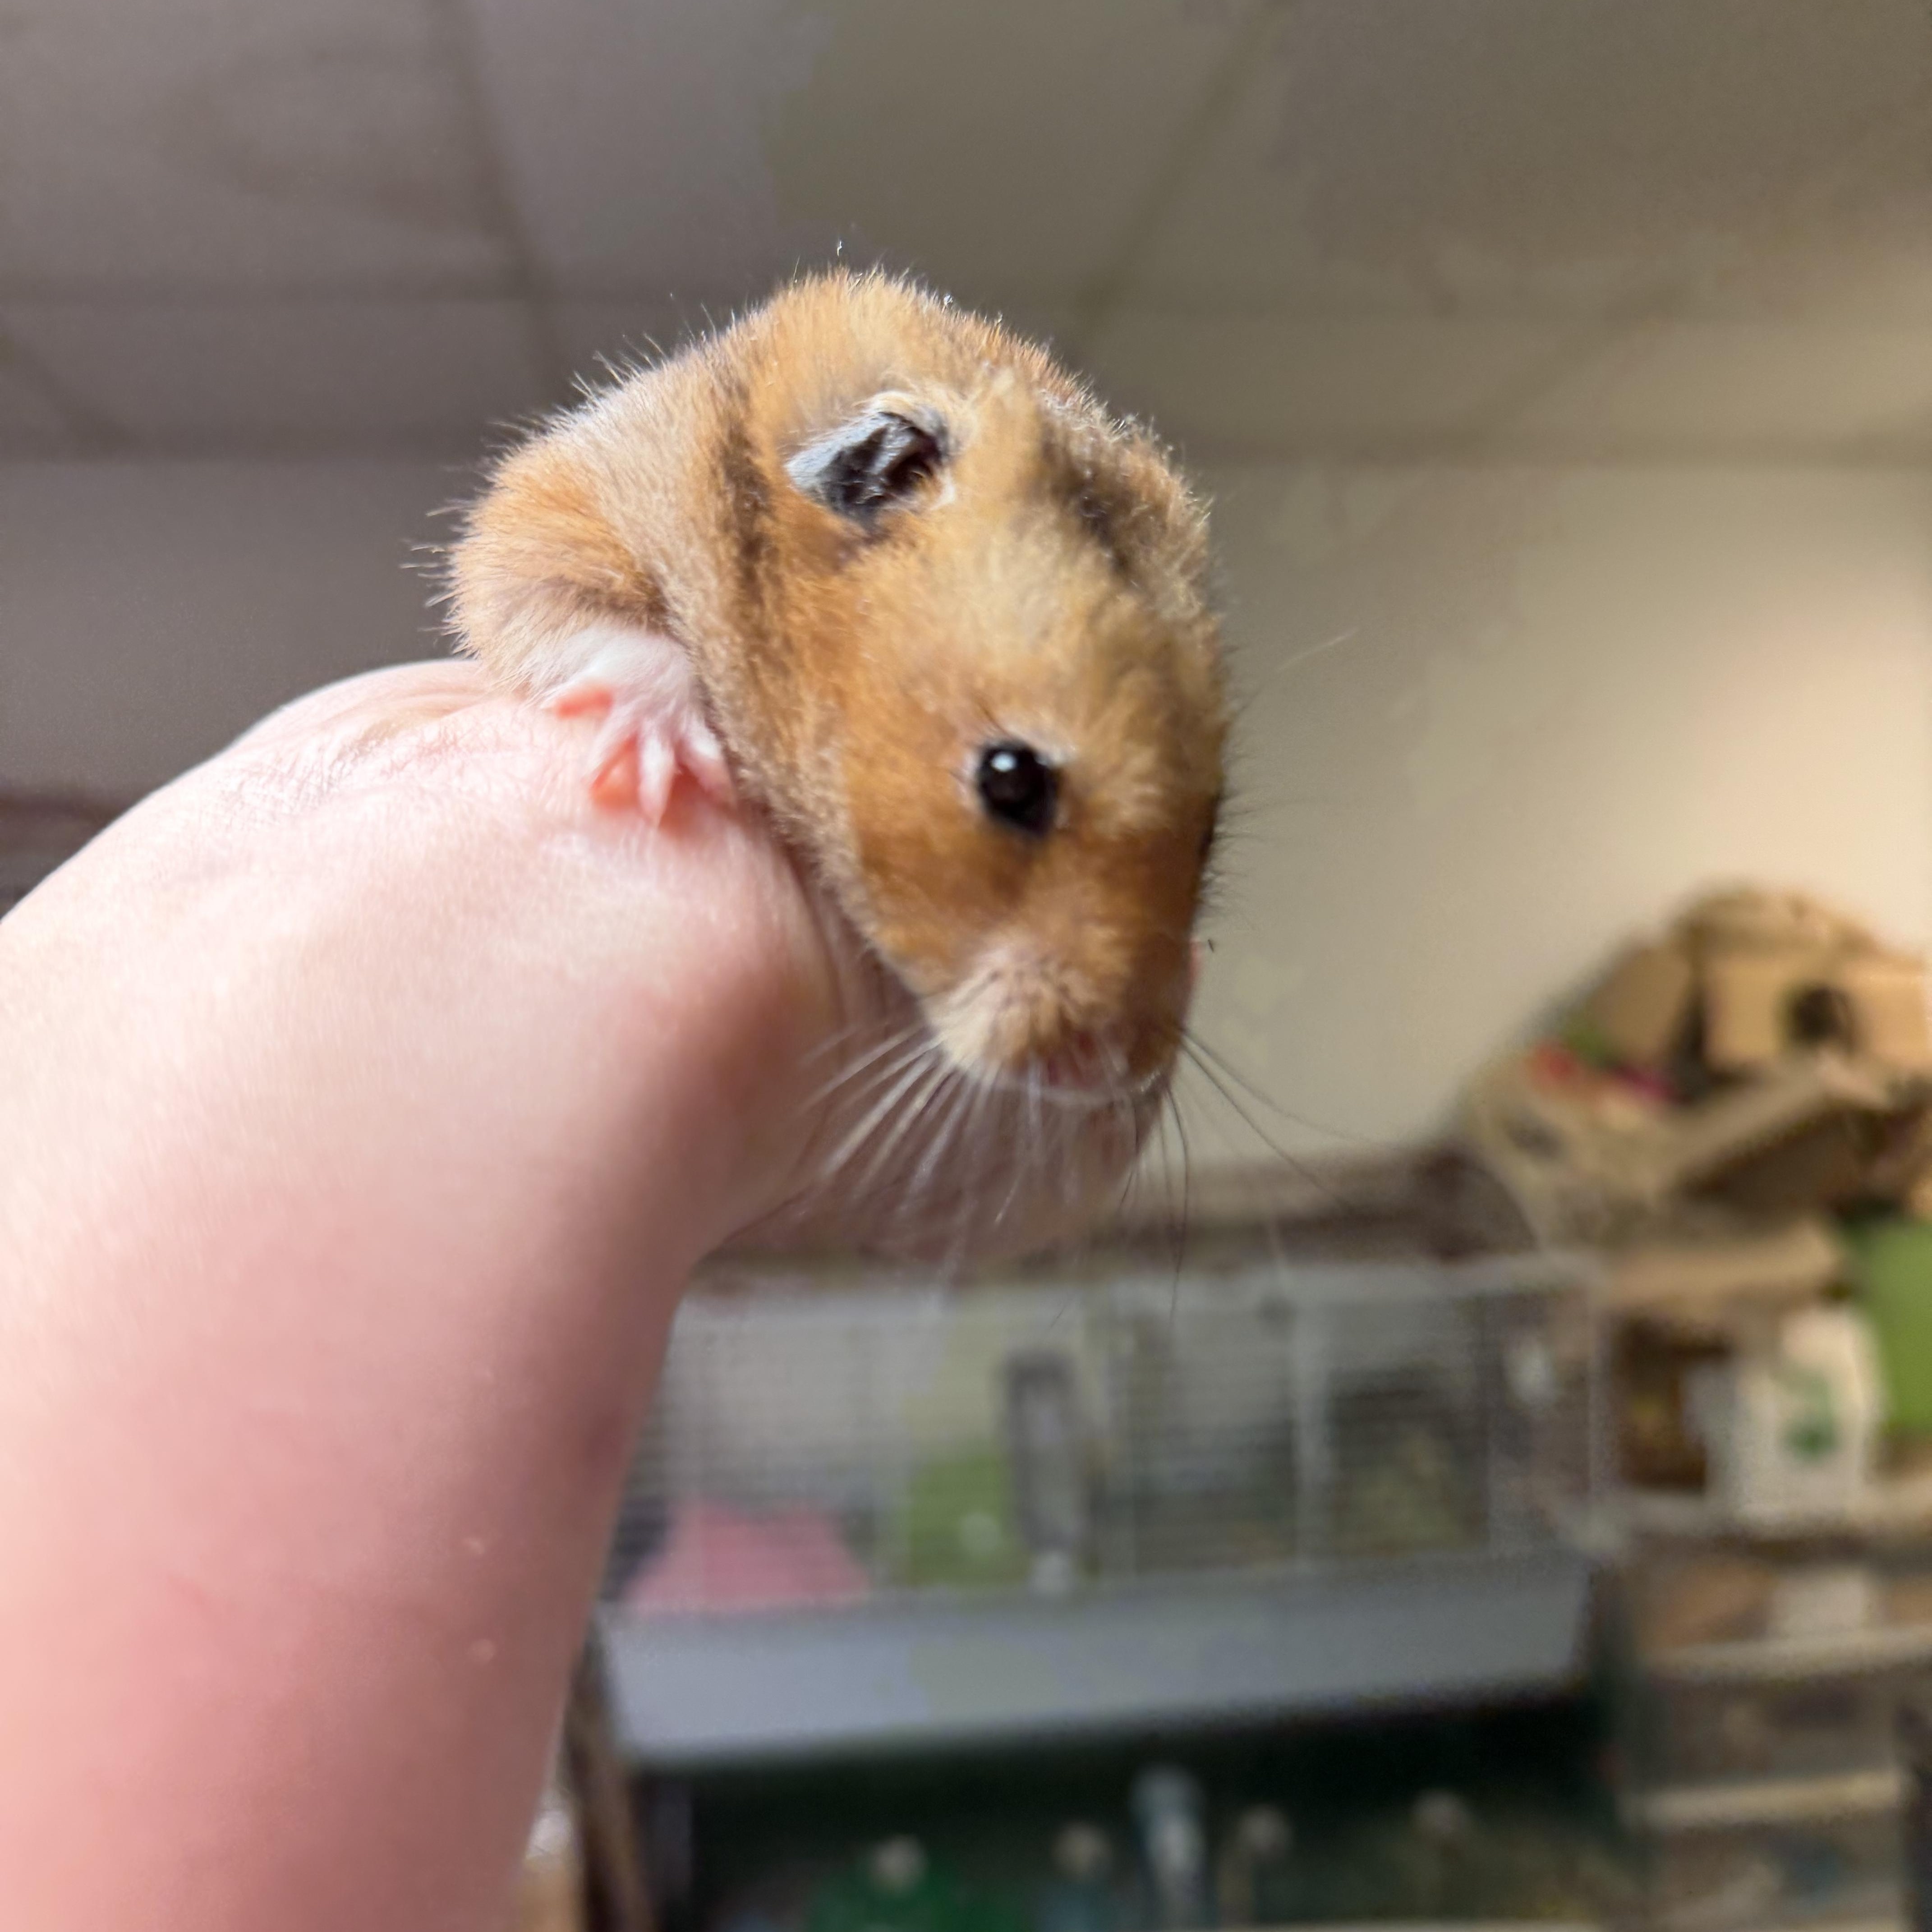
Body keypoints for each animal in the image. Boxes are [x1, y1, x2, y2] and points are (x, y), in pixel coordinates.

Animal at [449, 270, 1225, 1109]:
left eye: (1209, 832)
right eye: (1009, 779)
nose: (1112, 1073)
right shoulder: (569, 501)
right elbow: (559, 599)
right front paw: (660, 770)